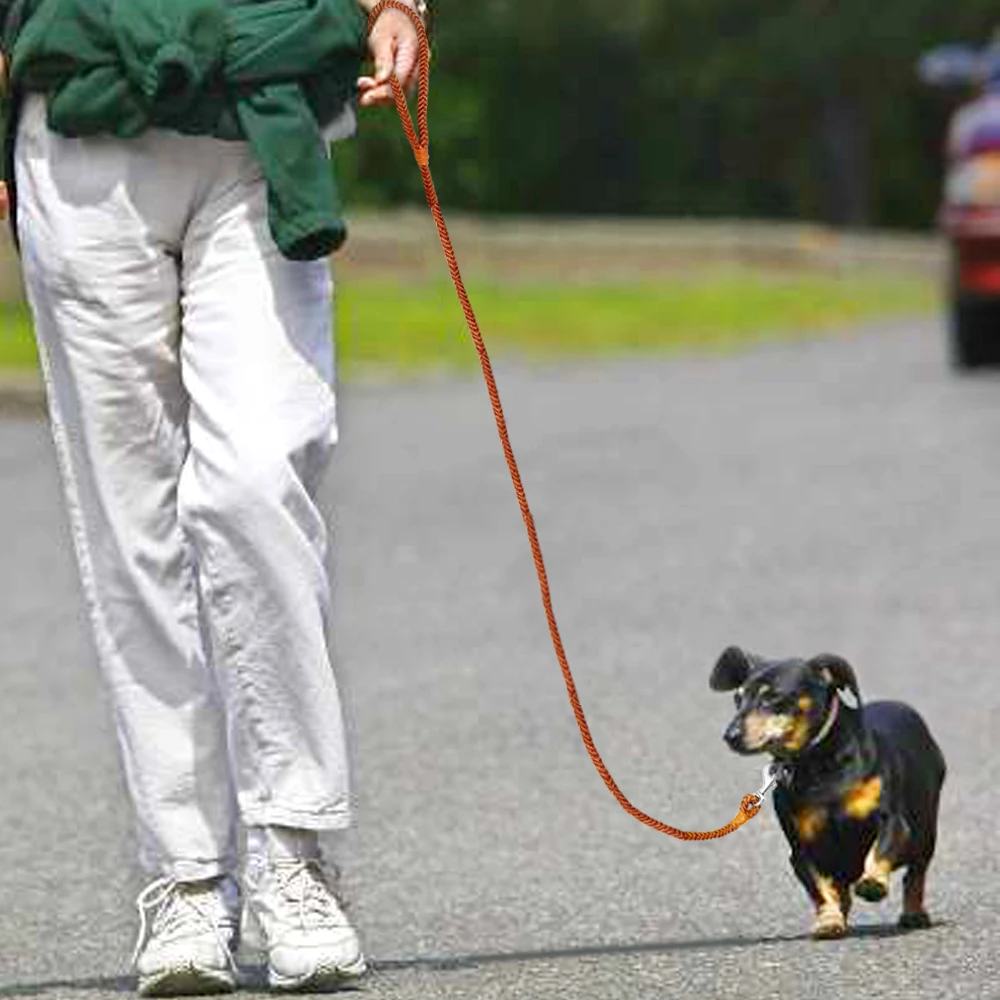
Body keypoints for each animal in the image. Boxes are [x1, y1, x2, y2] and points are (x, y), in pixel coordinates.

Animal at [712, 648, 944, 936]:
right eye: (737, 699)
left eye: (772, 697)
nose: (730, 736)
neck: (819, 764)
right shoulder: (802, 849)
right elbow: (821, 890)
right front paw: (829, 920)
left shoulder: (894, 822)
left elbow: (880, 851)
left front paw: (873, 882)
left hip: (925, 833)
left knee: (915, 875)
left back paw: (913, 913)